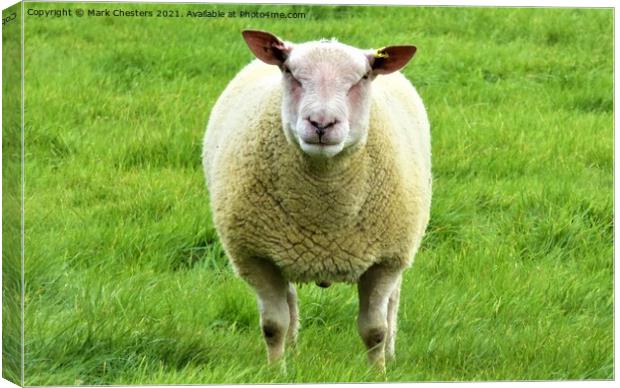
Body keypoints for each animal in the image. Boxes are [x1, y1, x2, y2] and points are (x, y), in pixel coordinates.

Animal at [203, 30, 432, 370]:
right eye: (290, 72)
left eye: (363, 77)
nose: (321, 123)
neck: (323, 211)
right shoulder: (257, 257)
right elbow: (273, 325)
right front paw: (276, 371)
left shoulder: (386, 261)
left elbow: (375, 330)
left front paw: (377, 371)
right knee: (290, 303)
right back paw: (293, 348)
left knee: (393, 303)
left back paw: (391, 353)